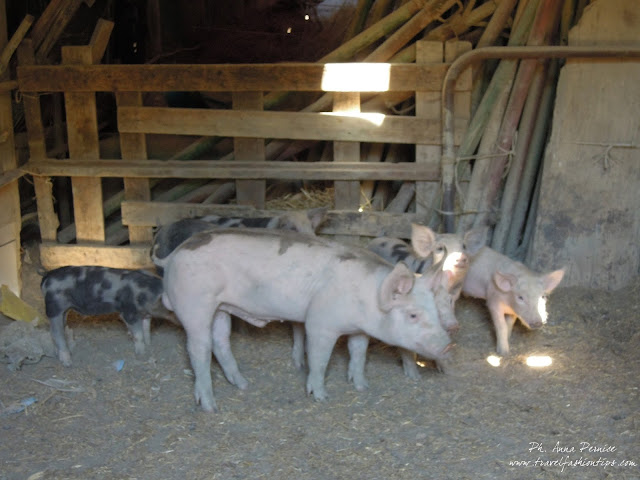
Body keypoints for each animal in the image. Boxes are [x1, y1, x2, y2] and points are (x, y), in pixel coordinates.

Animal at [41, 266, 176, 367]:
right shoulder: (128, 312)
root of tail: (48, 275)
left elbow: (146, 330)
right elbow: (138, 335)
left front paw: (149, 345)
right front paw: (142, 354)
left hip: (63, 311)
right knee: (56, 333)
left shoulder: (145, 314)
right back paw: (68, 363)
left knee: (56, 330)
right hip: (54, 307)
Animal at [161, 228, 452, 412]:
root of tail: (175, 253)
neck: (367, 297)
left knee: (220, 341)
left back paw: (243, 385)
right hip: (194, 303)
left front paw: (361, 386)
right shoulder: (320, 322)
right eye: (413, 314)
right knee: (198, 348)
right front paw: (321, 397)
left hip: (220, 307)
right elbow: (320, 359)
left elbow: (358, 353)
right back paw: (211, 406)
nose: (449, 345)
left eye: (436, 311)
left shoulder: (359, 330)